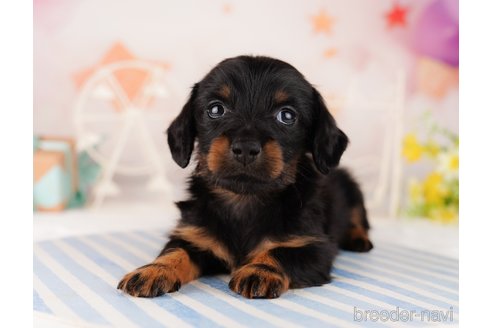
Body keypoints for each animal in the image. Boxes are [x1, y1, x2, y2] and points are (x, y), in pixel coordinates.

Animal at [118, 55, 372, 298]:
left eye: (287, 115)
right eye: (216, 109)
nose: (246, 148)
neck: (244, 199)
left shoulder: (312, 246)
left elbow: (279, 252)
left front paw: (260, 270)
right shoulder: (195, 236)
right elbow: (175, 251)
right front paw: (154, 270)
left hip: (353, 190)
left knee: (359, 219)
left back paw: (359, 239)